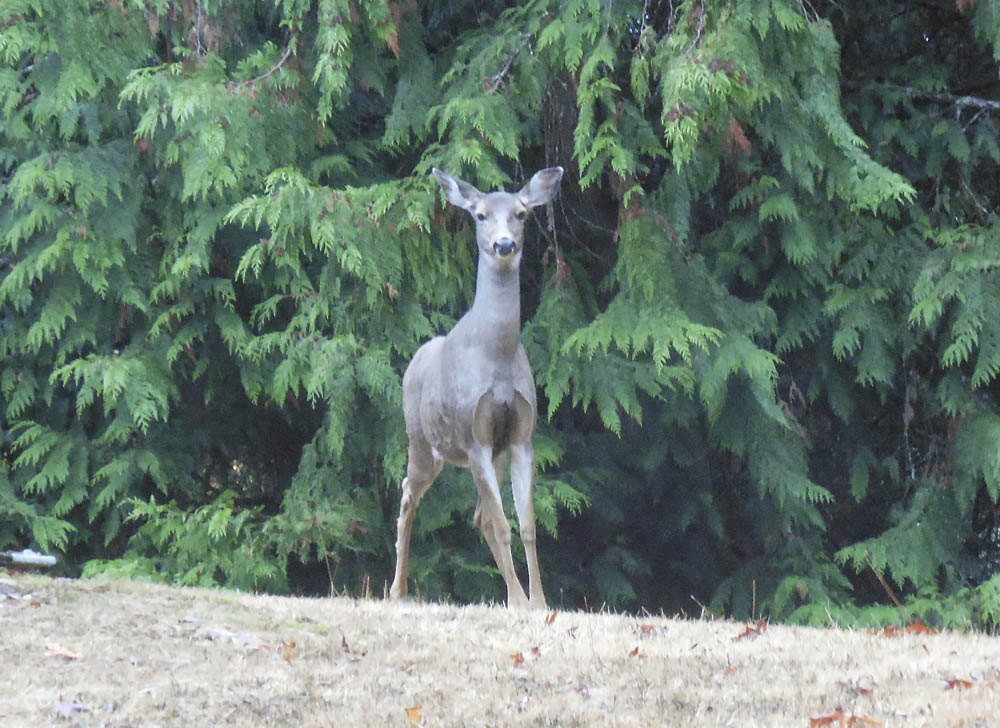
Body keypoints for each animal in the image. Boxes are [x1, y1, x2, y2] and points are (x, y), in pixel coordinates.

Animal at [389, 166, 564, 609]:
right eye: (481, 215)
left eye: (521, 214)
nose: (504, 244)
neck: (496, 358)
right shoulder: (474, 436)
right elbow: (504, 525)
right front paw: (519, 602)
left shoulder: (519, 437)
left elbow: (526, 525)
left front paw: (538, 602)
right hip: (422, 440)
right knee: (408, 495)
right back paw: (397, 590)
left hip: (487, 454)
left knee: (480, 515)